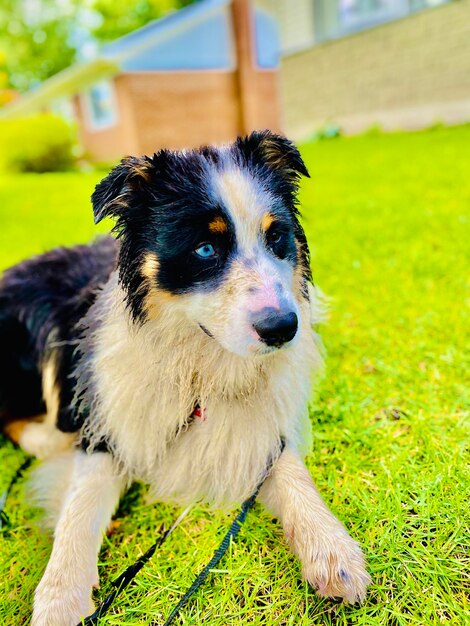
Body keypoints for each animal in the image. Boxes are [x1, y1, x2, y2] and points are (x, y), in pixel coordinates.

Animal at [0, 129, 370, 620]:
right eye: (205, 249)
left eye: (277, 237)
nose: (283, 329)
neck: (199, 364)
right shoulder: (107, 421)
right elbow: (80, 507)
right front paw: (60, 598)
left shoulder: (257, 426)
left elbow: (289, 470)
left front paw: (331, 549)